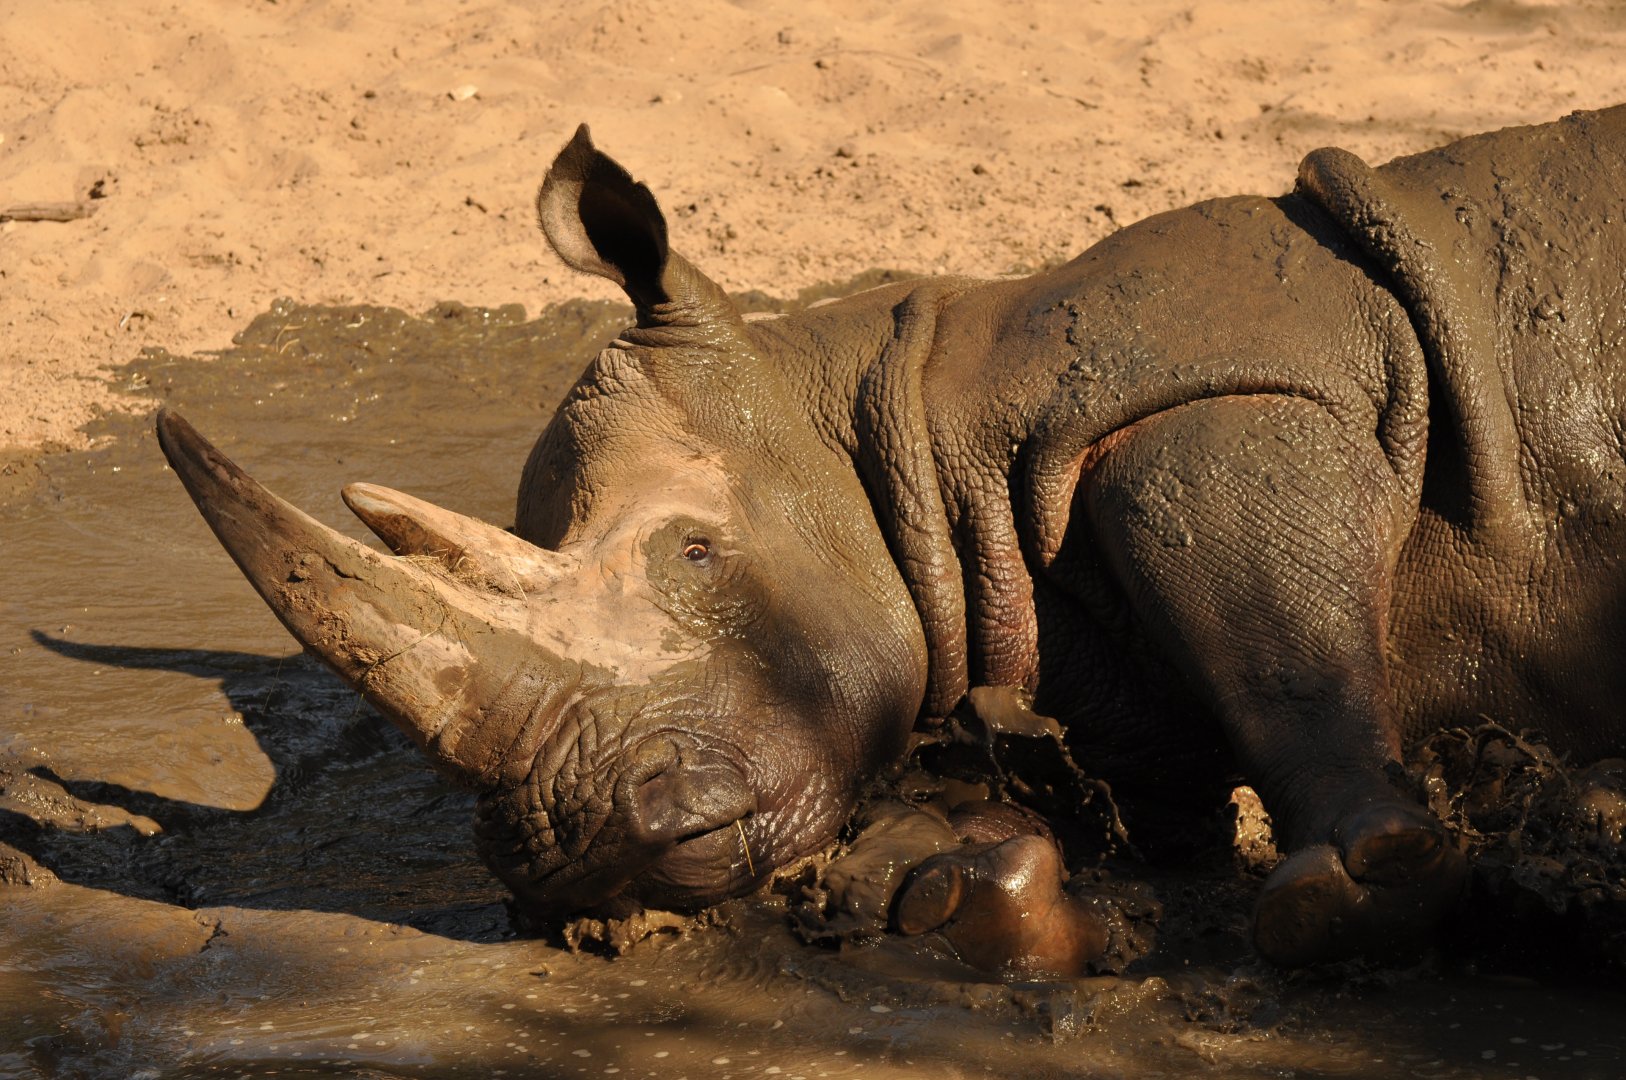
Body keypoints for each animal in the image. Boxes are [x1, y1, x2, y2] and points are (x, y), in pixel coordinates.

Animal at [158, 104, 1626, 967]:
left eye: (695, 555)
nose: (563, 855)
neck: (911, 437)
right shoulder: (1100, 668)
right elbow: (1184, 764)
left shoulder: (1232, 393)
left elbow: (1280, 641)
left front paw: (1365, 883)